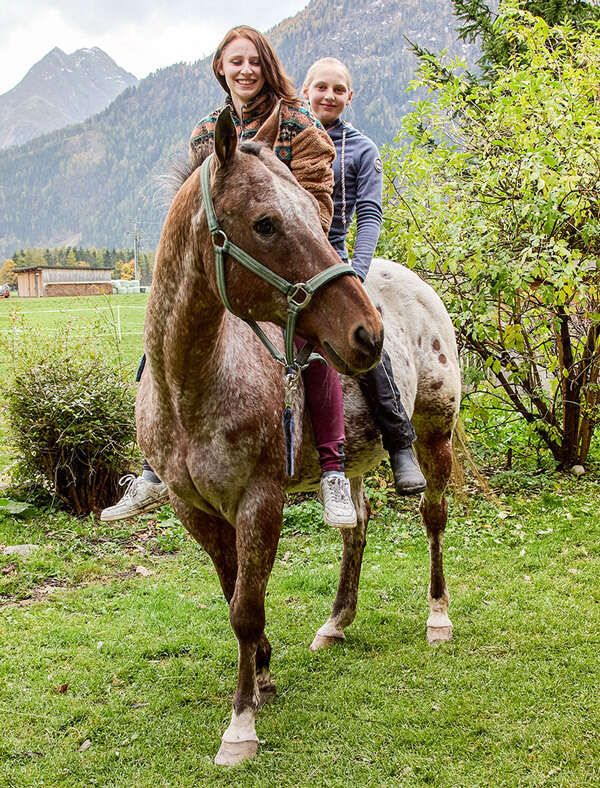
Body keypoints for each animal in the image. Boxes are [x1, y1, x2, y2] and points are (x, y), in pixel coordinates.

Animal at [137, 104, 460, 764]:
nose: (367, 332)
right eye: (265, 223)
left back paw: (438, 616)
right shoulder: (195, 509)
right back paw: (336, 621)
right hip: (353, 459)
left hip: (434, 434)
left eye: (316, 216)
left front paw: (241, 724)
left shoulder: (260, 501)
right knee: (356, 527)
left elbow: (245, 607)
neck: (192, 386)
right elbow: (236, 594)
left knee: (434, 518)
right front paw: (262, 675)